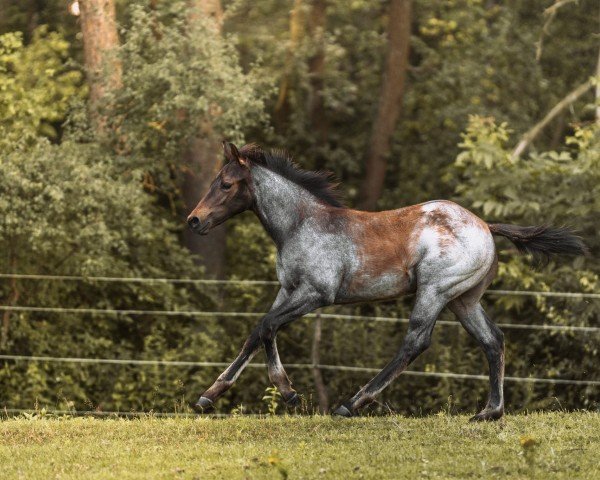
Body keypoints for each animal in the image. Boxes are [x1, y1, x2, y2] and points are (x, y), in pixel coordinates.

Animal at [186, 142, 584, 420]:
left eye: (225, 184)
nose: (194, 220)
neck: (301, 225)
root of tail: (486, 225)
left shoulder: (317, 293)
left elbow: (267, 326)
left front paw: (288, 393)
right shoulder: (287, 291)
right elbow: (257, 332)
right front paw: (208, 396)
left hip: (434, 291)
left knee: (416, 342)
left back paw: (350, 405)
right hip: (463, 300)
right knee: (493, 340)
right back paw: (489, 412)